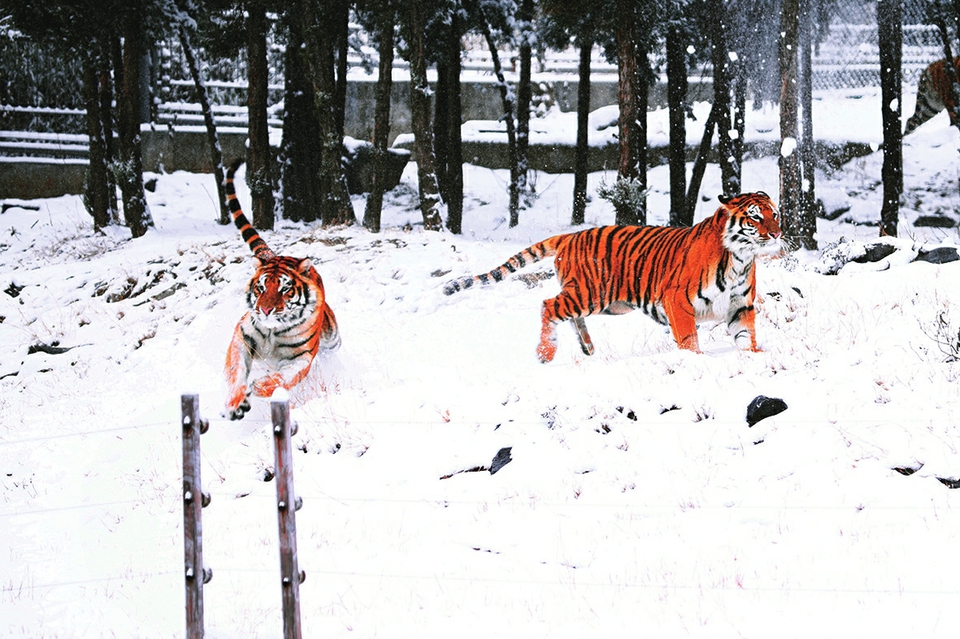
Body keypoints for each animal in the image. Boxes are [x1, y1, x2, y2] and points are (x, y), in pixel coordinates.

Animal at [221, 160, 342, 420]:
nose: (265, 310)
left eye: (285, 289)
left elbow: (284, 378)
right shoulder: (241, 337)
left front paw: (259, 386)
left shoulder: (302, 357)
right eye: (260, 288)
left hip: (332, 338)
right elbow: (236, 370)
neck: (272, 332)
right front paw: (235, 403)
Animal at [442, 190, 780, 362]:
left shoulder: (740, 306)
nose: (777, 233)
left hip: (606, 302)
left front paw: (754, 355)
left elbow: (745, 336)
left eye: (774, 214)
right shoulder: (677, 300)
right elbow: (688, 339)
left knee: (568, 314)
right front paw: (694, 361)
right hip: (591, 293)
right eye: (754, 217)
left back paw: (588, 348)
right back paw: (545, 353)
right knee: (549, 305)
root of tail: (568, 236)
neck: (740, 258)